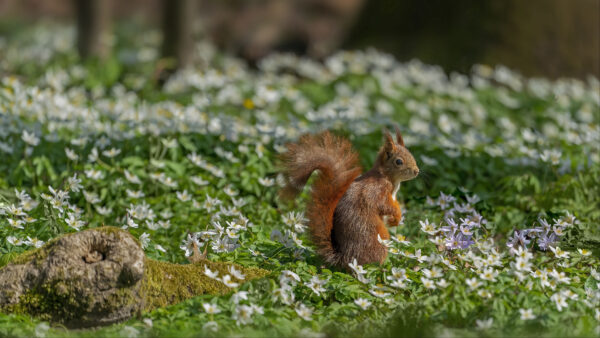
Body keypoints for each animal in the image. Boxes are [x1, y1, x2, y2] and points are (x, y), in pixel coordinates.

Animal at [280, 127, 418, 270]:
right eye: (399, 162)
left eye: (411, 155)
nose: (416, 171)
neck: (386, 176)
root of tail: (345, 258)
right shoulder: (376, 190)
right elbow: (384, 205)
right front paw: (397, 216)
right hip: (378, 239)